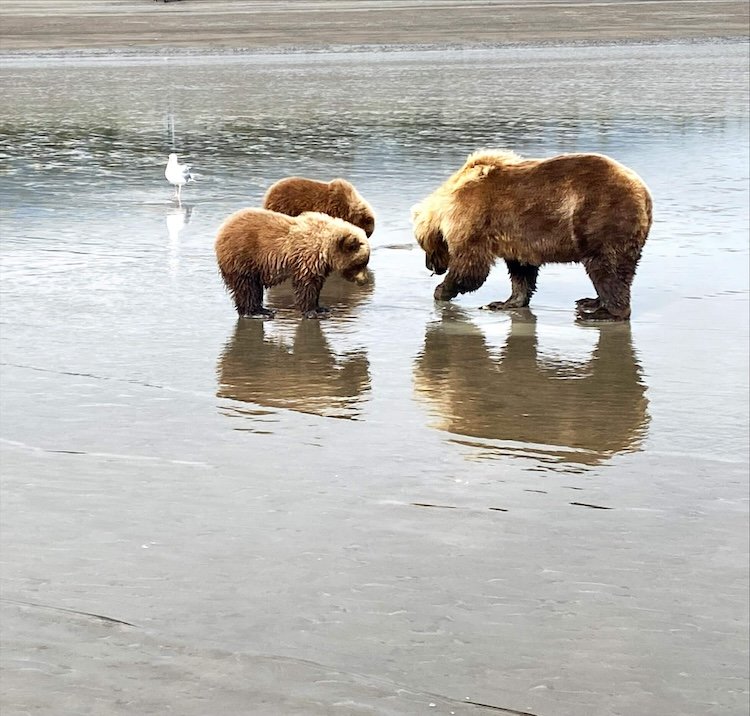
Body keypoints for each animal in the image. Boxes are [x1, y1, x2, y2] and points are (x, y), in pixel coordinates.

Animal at [216, 207, 372, 318]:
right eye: (360, 263)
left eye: (365, 262)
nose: (364, 281)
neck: (325, 250)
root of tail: (223, 227)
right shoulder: (308, 257)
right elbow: (307, 284)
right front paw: (312, 312)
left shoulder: (320, 264)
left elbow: (316, 284)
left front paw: (321, 308)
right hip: (243, 255)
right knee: (247, 286)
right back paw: (255, 313)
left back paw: (264, 310)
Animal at [412, 150, 652, 320]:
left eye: (423, 246)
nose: (430, 266)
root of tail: (643, 191)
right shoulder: (516, 236)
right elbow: (521, 271)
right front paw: (504, 303)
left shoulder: (474, 219)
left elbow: (471, 268)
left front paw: (442, 290)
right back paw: (591, 301)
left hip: (602, 215)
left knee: (607, 266)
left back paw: (602, 313)